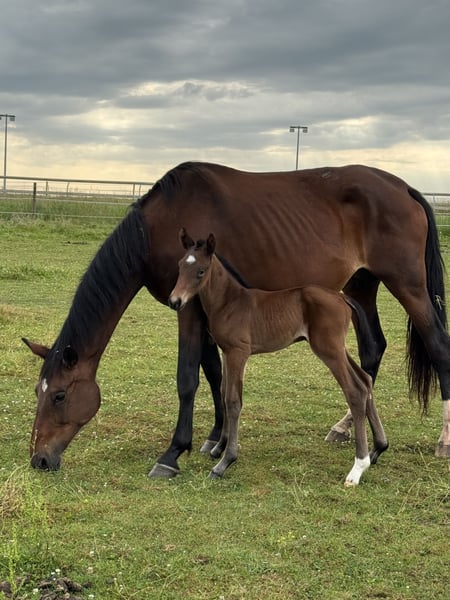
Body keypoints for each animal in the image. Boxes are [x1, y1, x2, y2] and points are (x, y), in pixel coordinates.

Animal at [168, 229, 389, 484]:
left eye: (201, 271)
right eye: (180, 266)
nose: (175, 301)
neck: (230, 303)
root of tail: (341, 297)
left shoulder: (238, 352)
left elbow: (233, 401)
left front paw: (225, 461)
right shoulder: (226, 352)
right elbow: (223, 393)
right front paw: (218, 448)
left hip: (329, 349)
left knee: (354, 391)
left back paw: (357, 468)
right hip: (337, 348)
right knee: (365, 380)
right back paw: (378, 448)